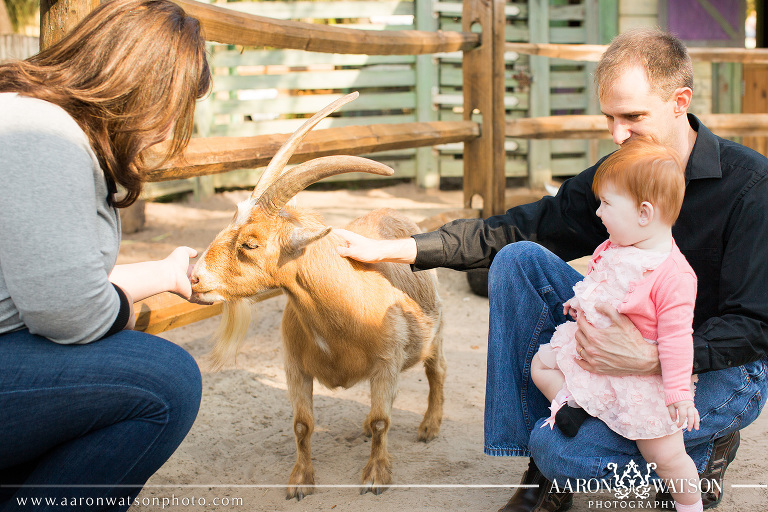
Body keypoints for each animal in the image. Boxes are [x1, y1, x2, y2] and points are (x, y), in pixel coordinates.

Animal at [188, 92, 448, 500]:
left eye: (250, 243)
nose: (196, 279)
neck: (345, 312)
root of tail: (393, 211)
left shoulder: (386, 363)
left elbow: (382, 421)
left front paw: (376, 476)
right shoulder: (294, 367)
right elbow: (302, 425)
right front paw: (300, 482)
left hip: (435, 333)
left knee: (437, 370)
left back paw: (429, 427)